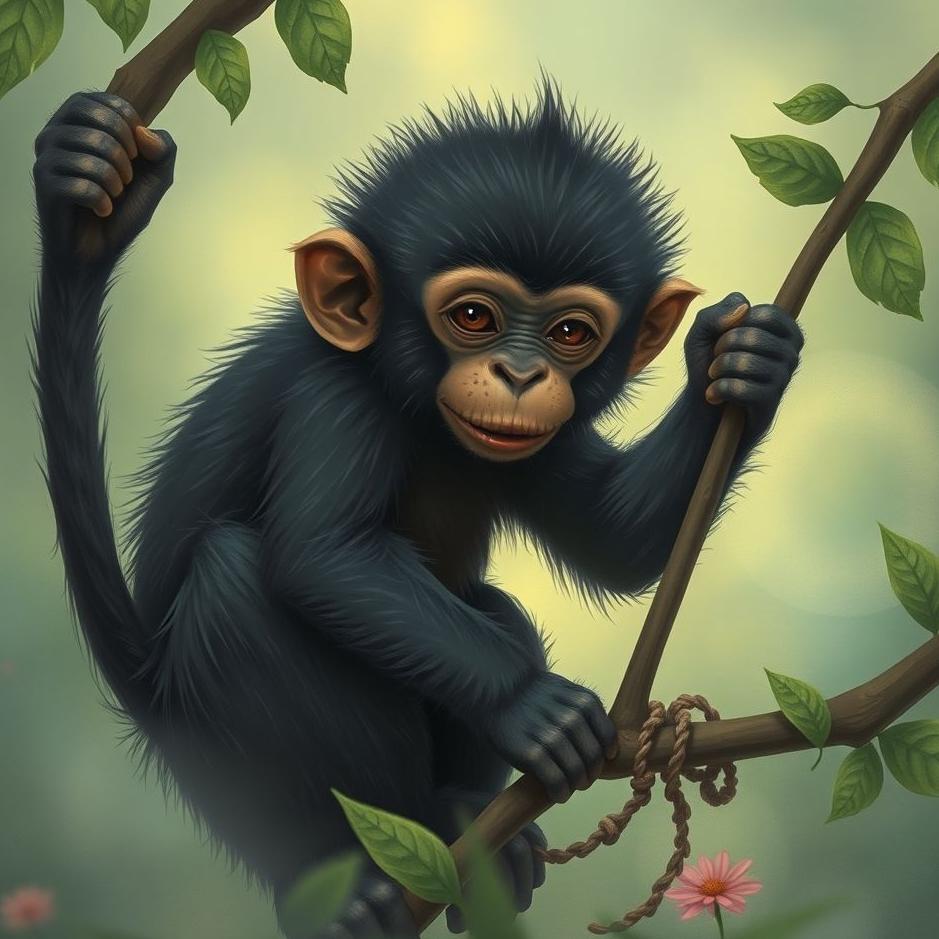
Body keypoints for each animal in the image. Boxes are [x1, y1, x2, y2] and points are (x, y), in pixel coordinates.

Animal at [32, 81, 802, 939]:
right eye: (473, 317)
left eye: (570, 332)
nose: (520, 374)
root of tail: (140, 689)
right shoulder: (336, 396)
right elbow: (326, 555)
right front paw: (527, 703)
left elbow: (619, 540)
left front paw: (742, 361)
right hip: (213, 764)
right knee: (233, 585)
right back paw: (348, 872)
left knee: (492, 604)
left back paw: (465, 813)